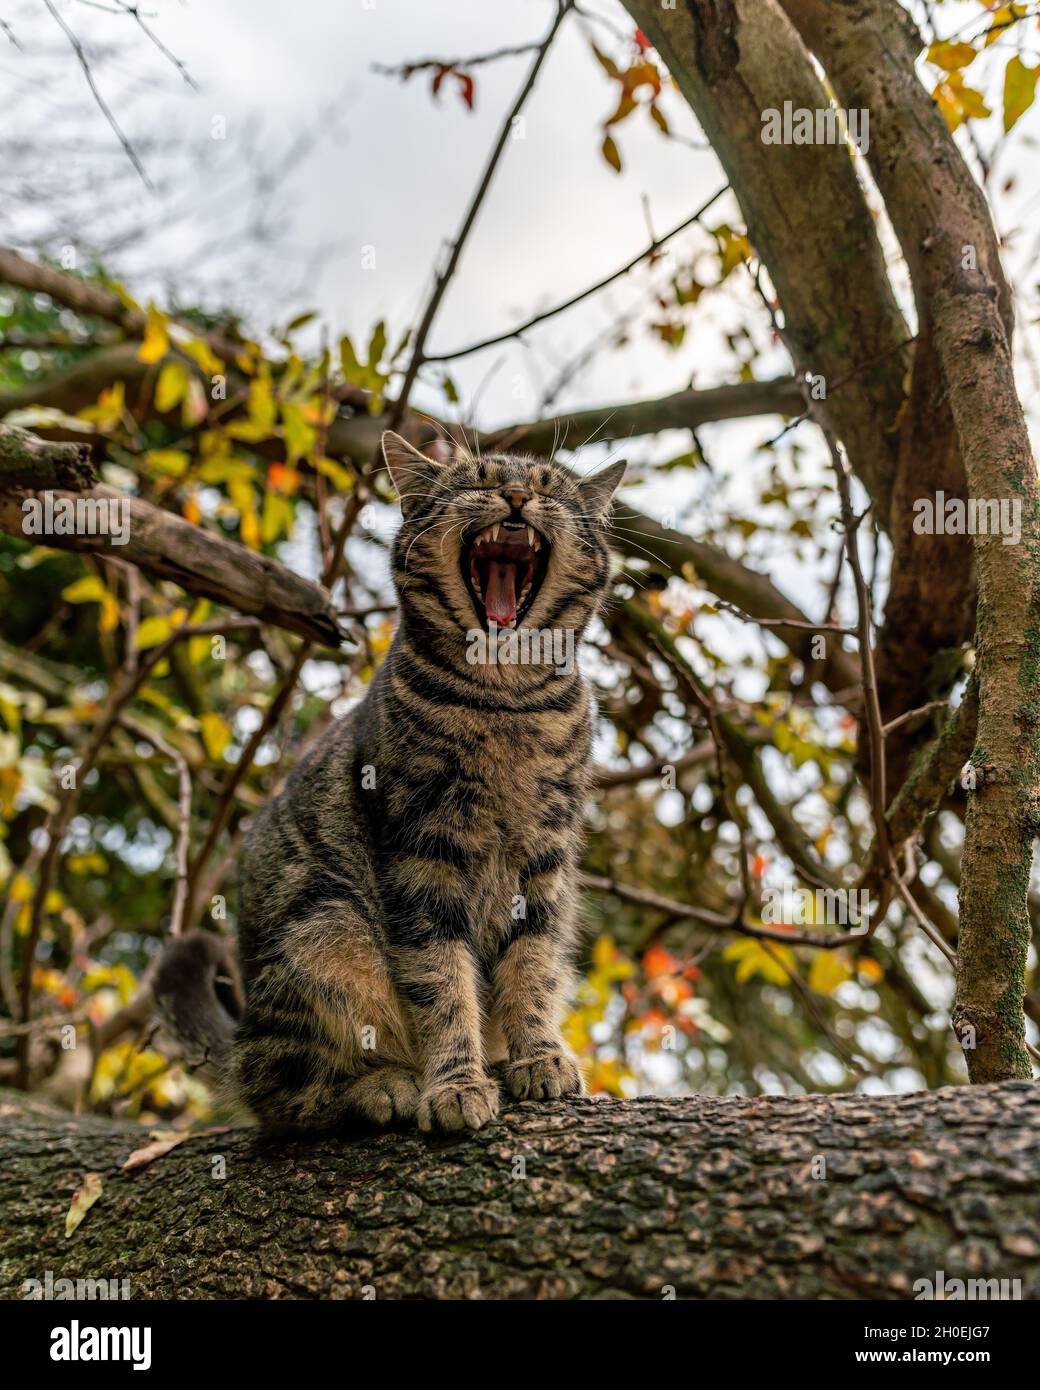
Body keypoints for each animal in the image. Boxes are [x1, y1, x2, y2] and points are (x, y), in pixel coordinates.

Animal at [154, 430, 625, 1128]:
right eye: (479, 479)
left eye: (548, 488)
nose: (516, 494)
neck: (505, 703)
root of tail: (240, 1039)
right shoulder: (420, 853)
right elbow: (442, 981)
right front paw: (455, 1084)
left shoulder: (545, 860)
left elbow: (532, 967)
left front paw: (538, 1055)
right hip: (325, 929)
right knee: (284, 1092)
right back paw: (384, 1086)